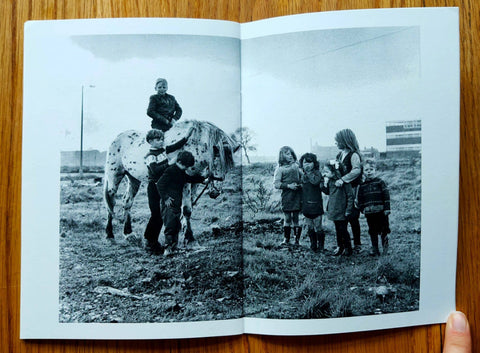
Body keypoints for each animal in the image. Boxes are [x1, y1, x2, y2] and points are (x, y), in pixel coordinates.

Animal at [104, 119, 240, 241]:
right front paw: (189, 236)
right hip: (114, 177)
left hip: (133, 179)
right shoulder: (185, 182)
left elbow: (189, 207)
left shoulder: (194, 182)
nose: (215, 192)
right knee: (111, 202)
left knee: (127, 201)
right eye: (215, 163)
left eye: (228, 168)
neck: (193, 146)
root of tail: (117, 138)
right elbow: (186, 209)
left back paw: (128, 233)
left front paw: (183, 229)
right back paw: (109, 233)